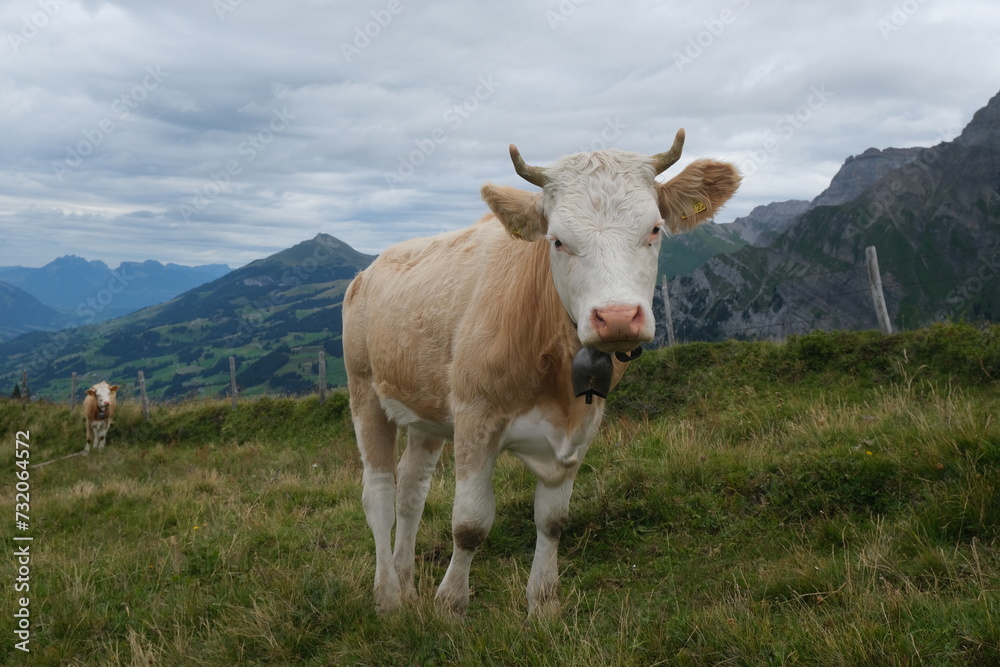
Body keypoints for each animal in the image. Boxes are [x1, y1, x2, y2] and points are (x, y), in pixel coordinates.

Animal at [346, 128, 744, 620]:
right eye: (556, 240)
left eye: (654, 229)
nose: (616, 317)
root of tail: (373, 265)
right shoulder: (475, 417)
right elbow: (469, 523)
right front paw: (451, 605)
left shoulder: (580, 428)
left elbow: (553, 521)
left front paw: (543, 604)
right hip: (364, 390)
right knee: (379, 494)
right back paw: (387, 596)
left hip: (427, 412)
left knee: (410, 491)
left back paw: (406, 585)